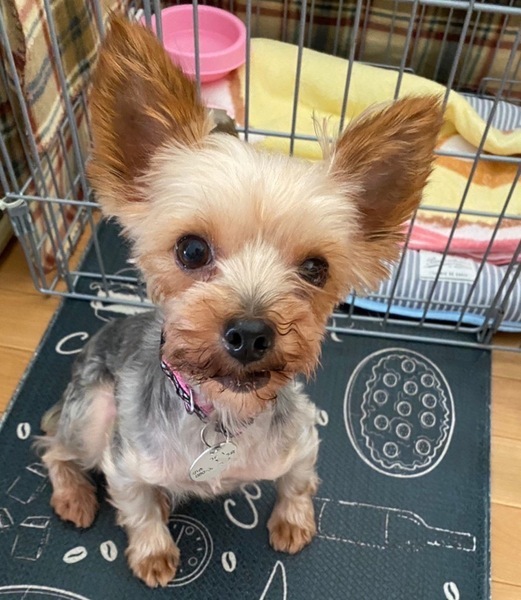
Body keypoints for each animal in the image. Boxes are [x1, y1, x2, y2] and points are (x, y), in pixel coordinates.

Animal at [37, 16, 443, 588]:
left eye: (316, 268)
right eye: (191, 249)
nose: (250, 333)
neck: (224, 414)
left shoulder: (303, 438)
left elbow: (298, 481)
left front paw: (293, 521)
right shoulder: (125, 460)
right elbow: (136, 508)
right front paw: (153, 551)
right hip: (94, 411)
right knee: (52, 442)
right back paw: (75, 495)